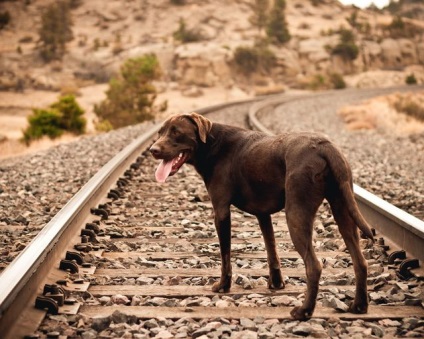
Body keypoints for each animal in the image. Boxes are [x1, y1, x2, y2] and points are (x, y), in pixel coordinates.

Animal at [151, 112, 372, 322]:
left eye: (176, 132)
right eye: (160, 132)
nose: (153, 149)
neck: (213, 144)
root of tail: (325, 148)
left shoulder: (221, 210)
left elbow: (225, 255)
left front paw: (223, 285)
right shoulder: (263, 214)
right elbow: (271, 249)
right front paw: (276, 283)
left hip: (296, 214)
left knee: (314, 266)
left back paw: (304, 311)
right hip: (343, 210)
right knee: (360, 262)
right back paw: (359, 306)